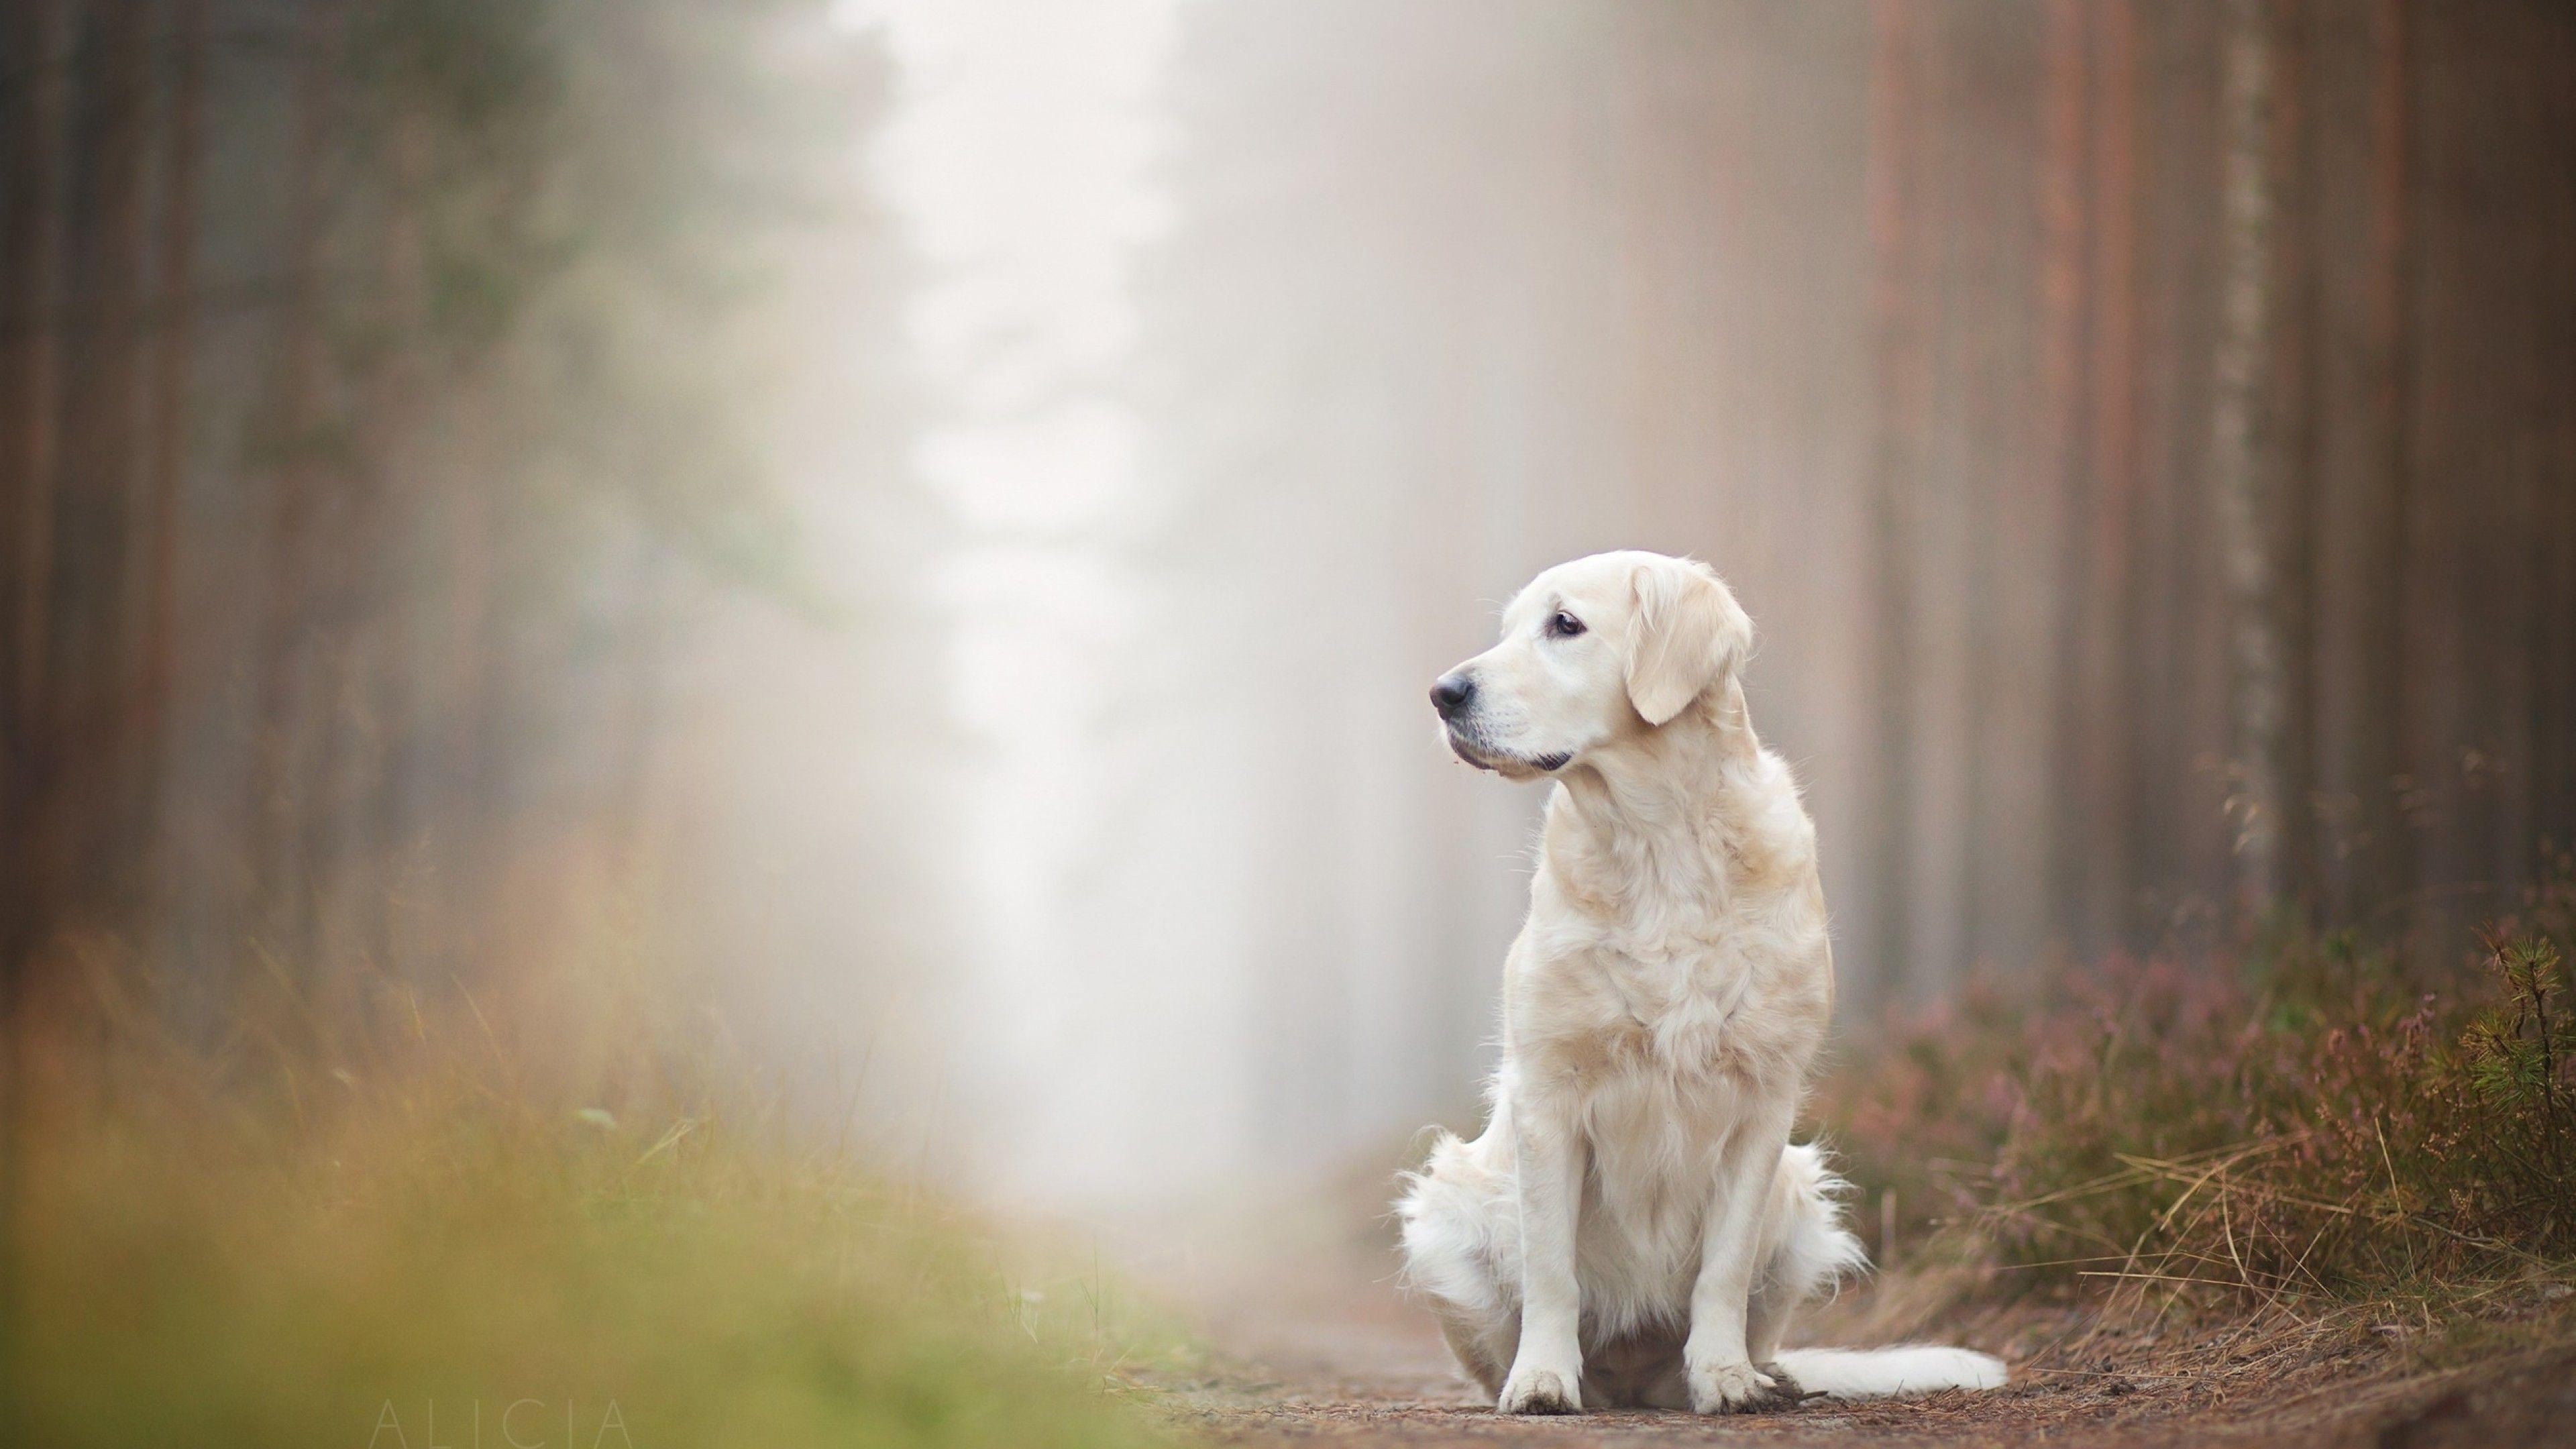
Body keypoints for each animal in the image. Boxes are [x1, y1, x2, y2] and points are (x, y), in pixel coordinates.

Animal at [1401, 549, 1998, 1413]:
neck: (1659, 842)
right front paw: (1543, 1378)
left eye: (1565, 624)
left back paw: (1762, 1375)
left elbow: (1725, 1268)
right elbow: (1551, 1269)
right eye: (1508, 628)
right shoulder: (1549, 1093)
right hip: (1445, 1212)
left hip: (1801, 1200)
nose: (1444, 693)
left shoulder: (1764, 1100)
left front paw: (1725, 1377)